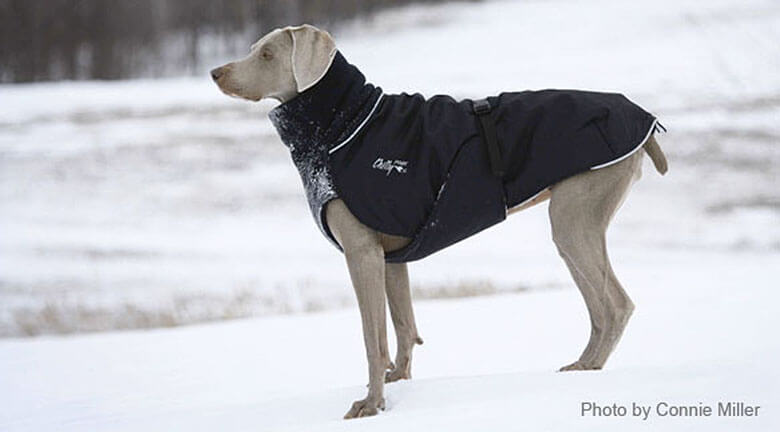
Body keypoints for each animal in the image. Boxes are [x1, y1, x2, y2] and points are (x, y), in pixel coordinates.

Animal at [210, 23, 668, 418]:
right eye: (253, 48)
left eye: (267, 54)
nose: (215, 72)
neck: (344, 122)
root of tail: (643, 119)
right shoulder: (389, 257)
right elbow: (402, 325)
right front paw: (399, 381)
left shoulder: (360, 252)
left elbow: (372, 337)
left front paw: (370, 406)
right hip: (573, 224)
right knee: (599, 309)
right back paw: (581, 368)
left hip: (575, 216)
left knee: (616, 305)